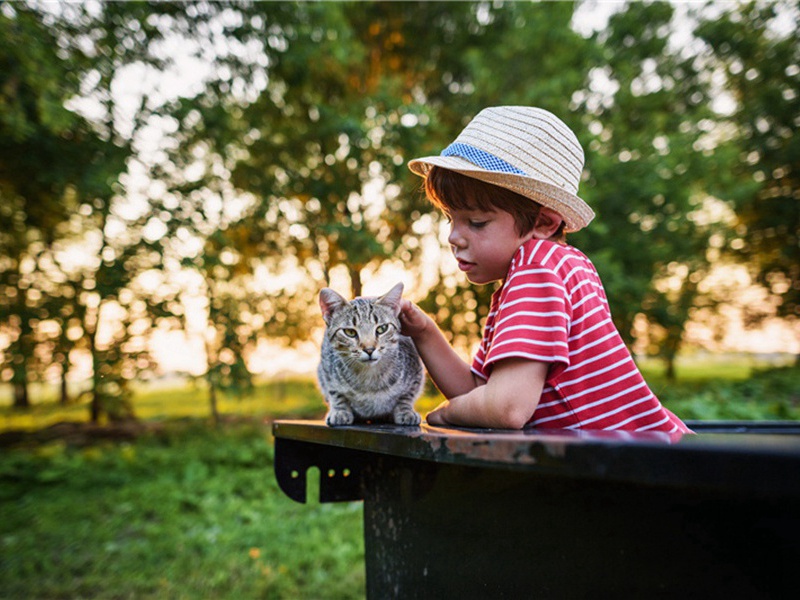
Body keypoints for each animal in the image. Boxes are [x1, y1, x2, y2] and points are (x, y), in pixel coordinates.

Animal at [318, 282, 424, 426]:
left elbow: (407, 395)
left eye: (382, 328)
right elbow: (335, 393)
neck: (370, 377)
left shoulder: (416, 372)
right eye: (350, 332)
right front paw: (340, 411)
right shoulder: (326, 371)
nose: (369, 349)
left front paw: (405, 411)